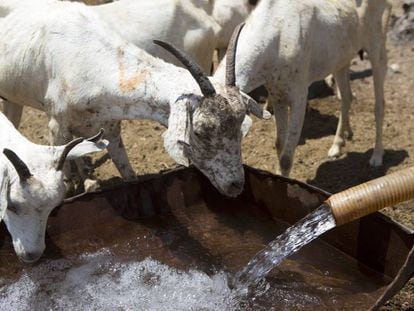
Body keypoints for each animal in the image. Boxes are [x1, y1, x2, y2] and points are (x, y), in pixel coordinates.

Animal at [0, 1, 270, 197]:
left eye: (239, 126)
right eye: (200, 131)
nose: (235, 185)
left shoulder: (109, 128)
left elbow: (129, 175)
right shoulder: (56, 126)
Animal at [215, 0, 392, 178]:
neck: (278, 32)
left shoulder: (299, 97)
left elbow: (286, 158)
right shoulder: (277, 96)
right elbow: (279, 144)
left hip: (377, 48)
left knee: (379, 103)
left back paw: (377, 156)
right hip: (342, 60)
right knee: (347, 97)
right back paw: (337, 145)